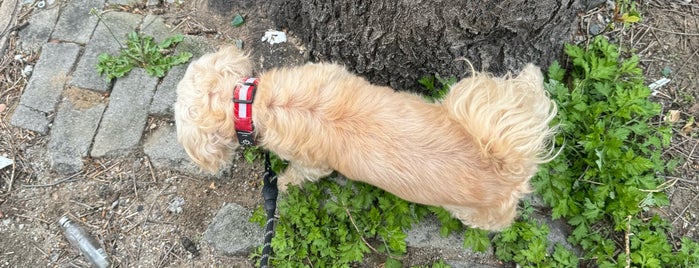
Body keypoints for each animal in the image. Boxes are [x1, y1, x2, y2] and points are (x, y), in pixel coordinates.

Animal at [175, 46, 556, 230]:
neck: (253, 102)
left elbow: (296, 176)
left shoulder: (311, 166)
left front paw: (281, 183)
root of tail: (504, 168)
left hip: (476, 213)